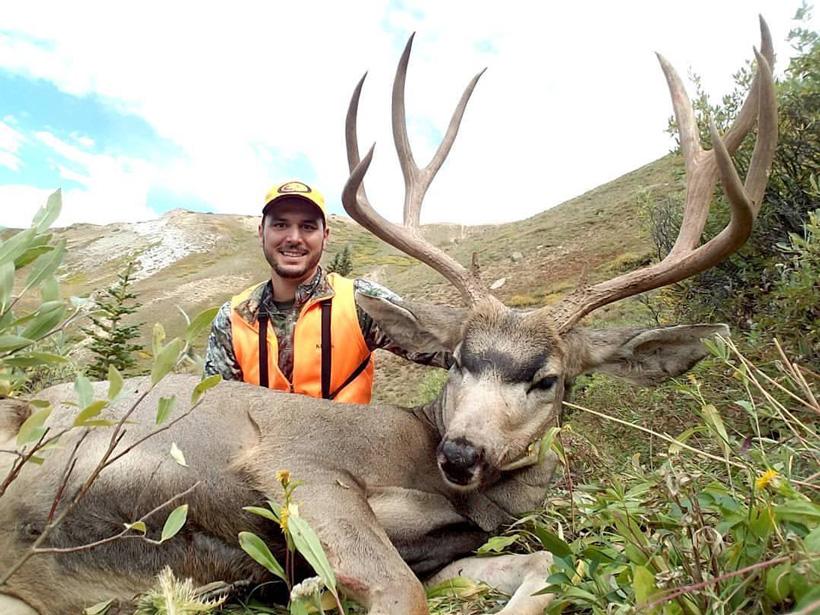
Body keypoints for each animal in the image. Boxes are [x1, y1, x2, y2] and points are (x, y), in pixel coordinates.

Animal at [0, 19, 776, 615]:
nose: (461, 453)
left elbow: (543, 567)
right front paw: (314, 591)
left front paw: (312, 590)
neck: (439, 484)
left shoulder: (448, 547)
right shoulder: (296, 462)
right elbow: (404, 591)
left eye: (547, 377)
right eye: (459, 359)